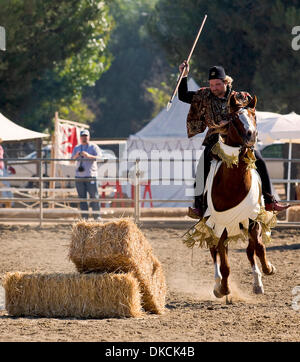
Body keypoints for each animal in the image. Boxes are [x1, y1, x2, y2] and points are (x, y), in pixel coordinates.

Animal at [184, 92, 278, 300]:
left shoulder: (253, 220)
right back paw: (218, 285)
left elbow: (258, 247)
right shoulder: (220, 226)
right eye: (235, 118)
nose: (251, 135)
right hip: (212, 224)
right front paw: (223, 289)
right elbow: (224, 261)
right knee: (215, 253)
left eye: (254, 115)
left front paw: (268, 269)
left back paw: (257, 282)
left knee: (250, 251)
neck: (234, 185)